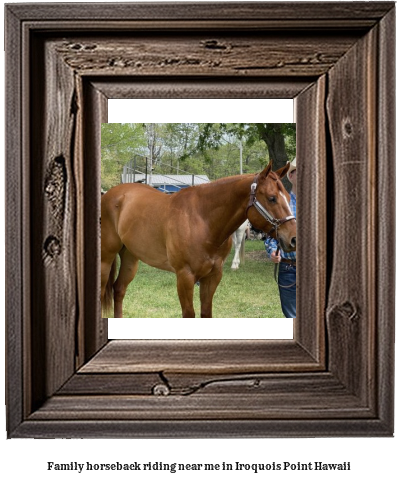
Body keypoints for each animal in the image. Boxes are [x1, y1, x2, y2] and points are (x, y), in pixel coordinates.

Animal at [102, 162, 296, 318]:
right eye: (272, 198)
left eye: (288, 197)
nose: (293, 239)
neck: (202, 220)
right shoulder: (185, 277)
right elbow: (189, 314)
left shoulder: (213, 276)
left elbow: (206, 313)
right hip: (106, 258)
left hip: (130, 257)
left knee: (119, 290)